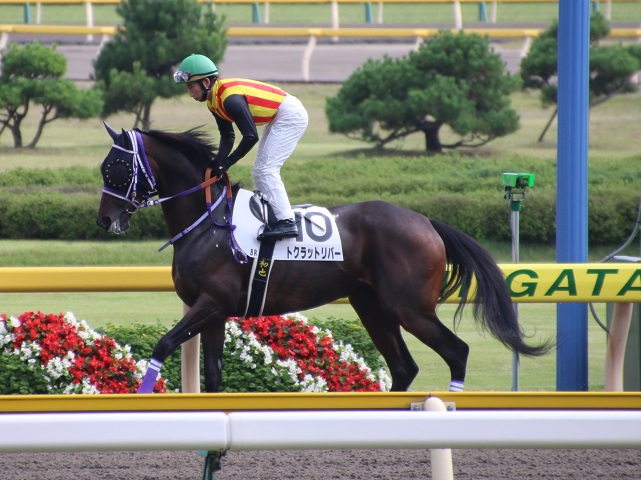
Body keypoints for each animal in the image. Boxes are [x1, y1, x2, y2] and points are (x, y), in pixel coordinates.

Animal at [96, 124, 551, 393]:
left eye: (115, 166)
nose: (103, 220)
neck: (209, 222)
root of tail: (426, 221)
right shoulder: (213, 312)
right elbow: (212, 375)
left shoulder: (211, 303)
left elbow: (163, 343)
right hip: (373, 307)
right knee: (404, 368)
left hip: (409, 307)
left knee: (456, 352)